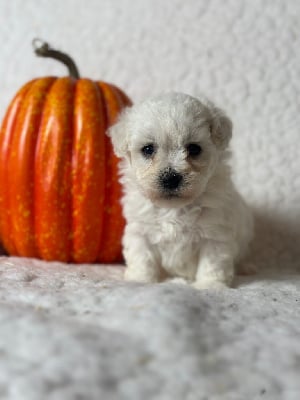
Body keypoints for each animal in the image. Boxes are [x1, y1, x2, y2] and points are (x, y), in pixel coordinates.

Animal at [108, 92, 253, 290]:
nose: (171, 178)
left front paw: (210, 286)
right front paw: (140, 280)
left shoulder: (216, 234)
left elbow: (212, 263)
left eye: (194, 148)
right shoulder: (140, 230)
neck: (174, 208)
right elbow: (142, 257)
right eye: (148, 149)